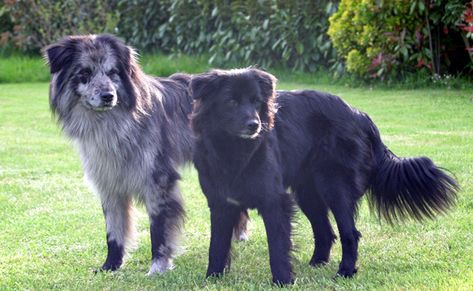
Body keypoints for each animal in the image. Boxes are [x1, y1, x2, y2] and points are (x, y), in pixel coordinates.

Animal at [189, 68, 458, 286]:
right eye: (230, 101)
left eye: (256, 101)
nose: (254, 125)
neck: (233, 150)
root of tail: (359, 114)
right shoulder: (221, 203)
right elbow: (217, 245)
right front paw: (212, 278)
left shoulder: (274, 201)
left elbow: (277, 245)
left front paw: (282, 281)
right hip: (308, 192)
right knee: (326, 231)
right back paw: (317, 263)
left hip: (335, 187)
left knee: (350, 234)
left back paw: (344, 272)